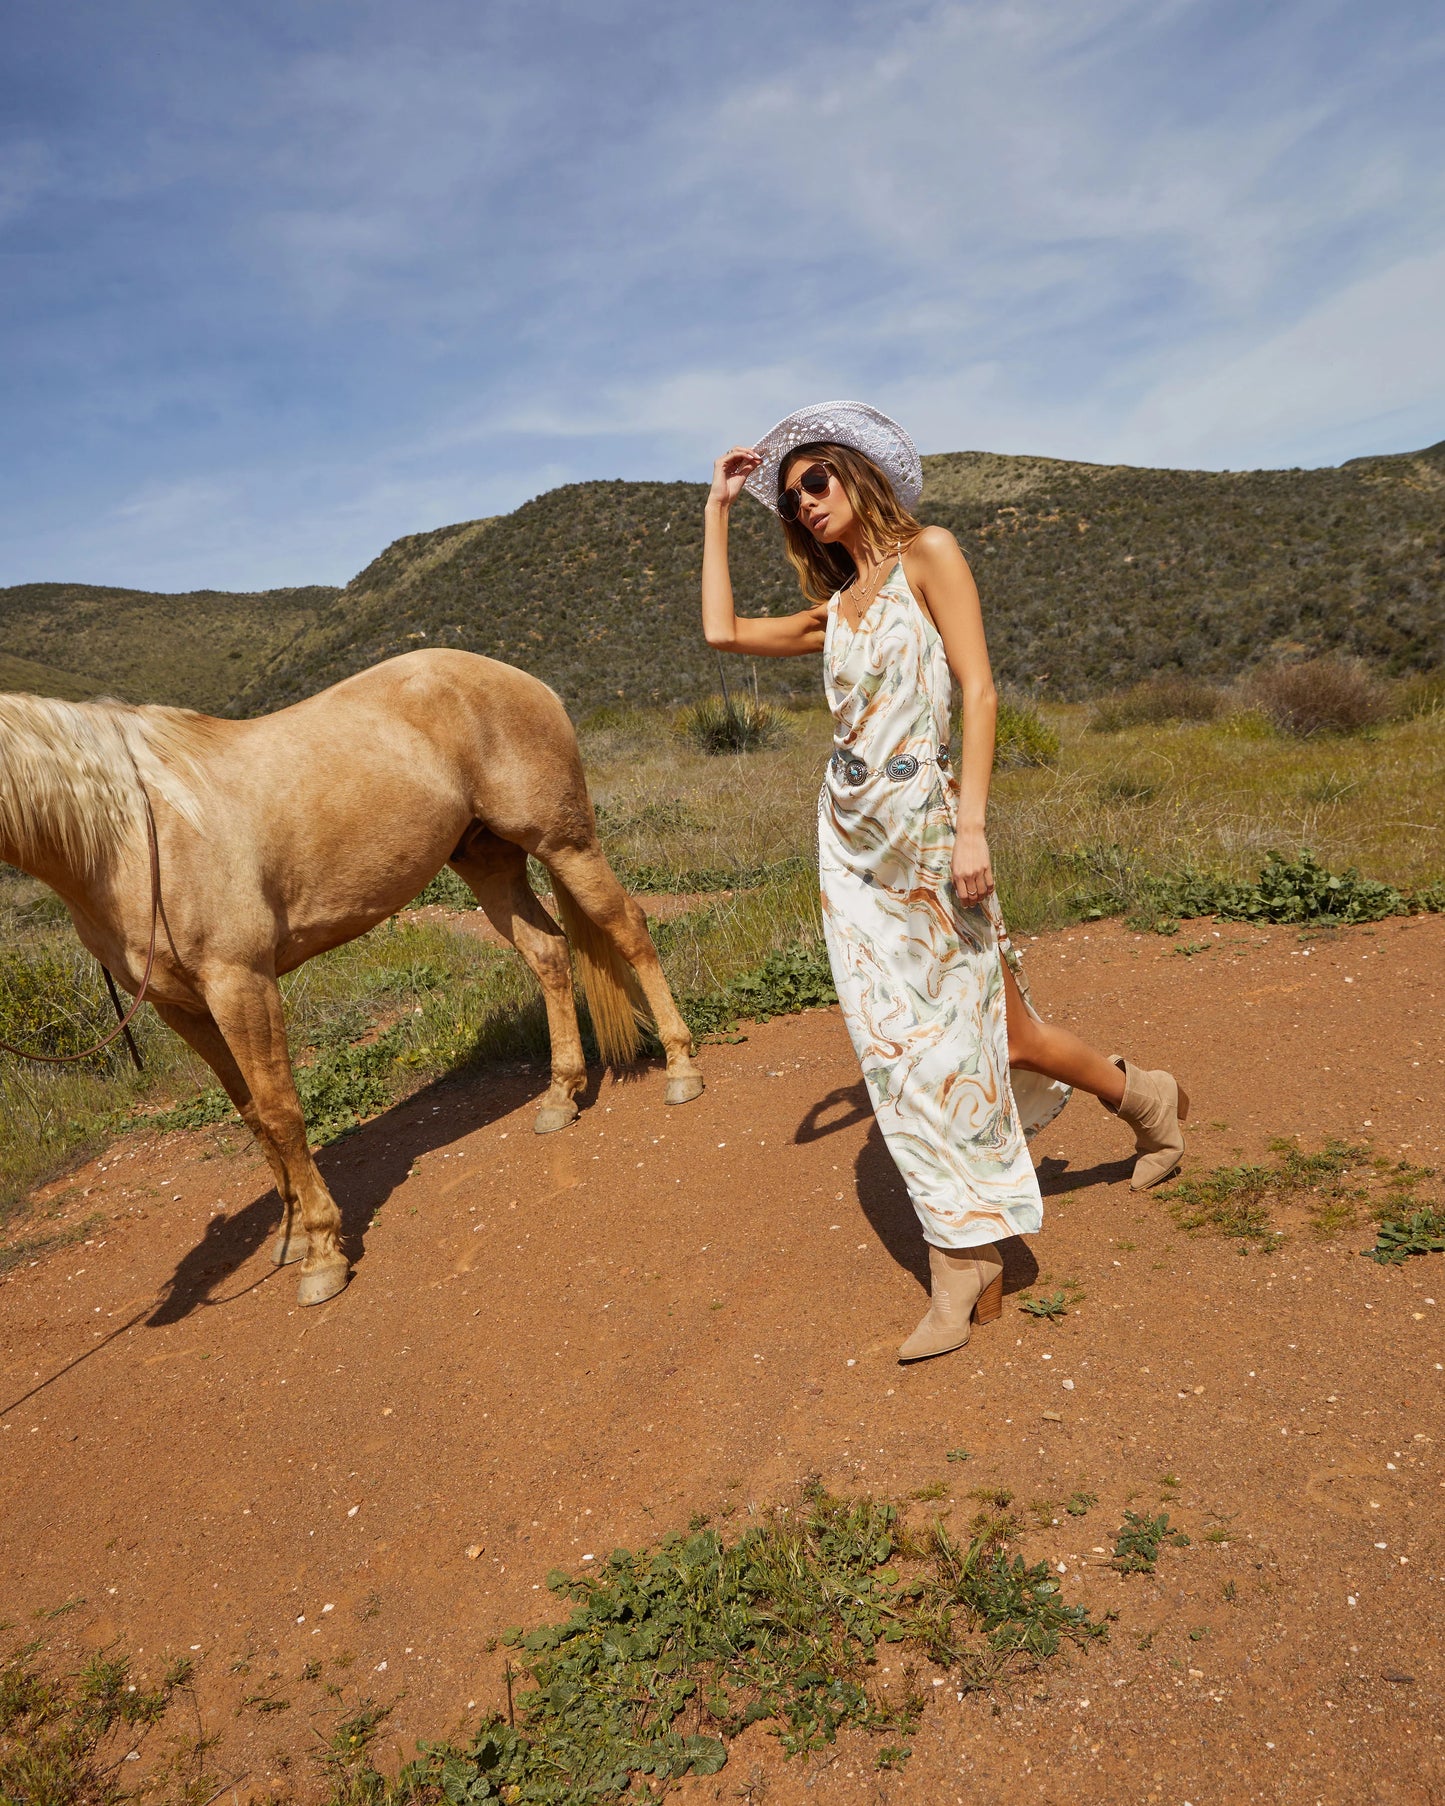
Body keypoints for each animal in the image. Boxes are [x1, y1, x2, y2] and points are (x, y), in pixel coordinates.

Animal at [0, 650, 704, 1300]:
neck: (133, 832)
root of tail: (523, 679)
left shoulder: (241, 983)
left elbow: (281, 1111)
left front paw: (321, 1254)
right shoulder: (185, 1008)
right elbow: (251, 1114)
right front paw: (289, 1235)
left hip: (563, 841)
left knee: (628, 928)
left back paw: (681, 1068)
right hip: (487, 858)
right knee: (550, 954)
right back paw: (561, 1095)